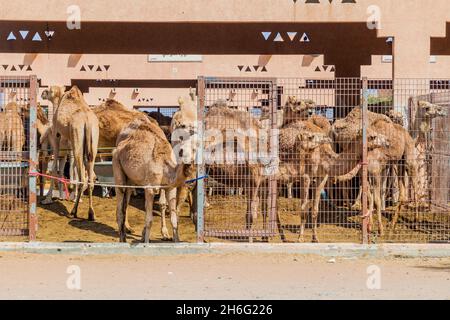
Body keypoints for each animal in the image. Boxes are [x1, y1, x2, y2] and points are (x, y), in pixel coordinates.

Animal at [41, 85, 99, 221]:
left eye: (48, 90)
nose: (42, 94)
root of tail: (87, 121)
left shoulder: (56, 135)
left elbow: (55, 169)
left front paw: (48, 198)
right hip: (92, 142)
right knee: (90, 177)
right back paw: (91, 213)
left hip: (76, 136)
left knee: (82, 177)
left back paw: (74, 211)